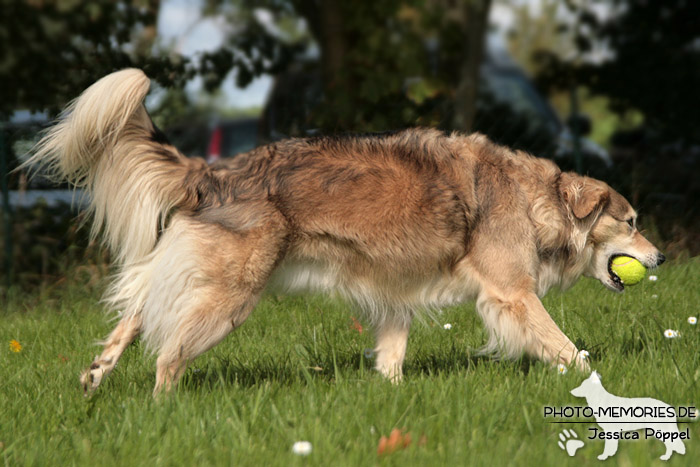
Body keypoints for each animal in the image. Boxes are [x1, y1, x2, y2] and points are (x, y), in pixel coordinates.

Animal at [23, 69, 668, 396]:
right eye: (631, 223)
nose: (661, 258)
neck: (538, 199)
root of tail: (215, 171)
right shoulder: (513, 293)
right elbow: (565, 345)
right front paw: (596, 379)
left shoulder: (396, 295)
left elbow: (391, 355)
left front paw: (390, 399)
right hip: (230, 297)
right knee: (168, 353)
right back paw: (165, 408)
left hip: (196, 279)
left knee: (135, 314)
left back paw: (98, 373)